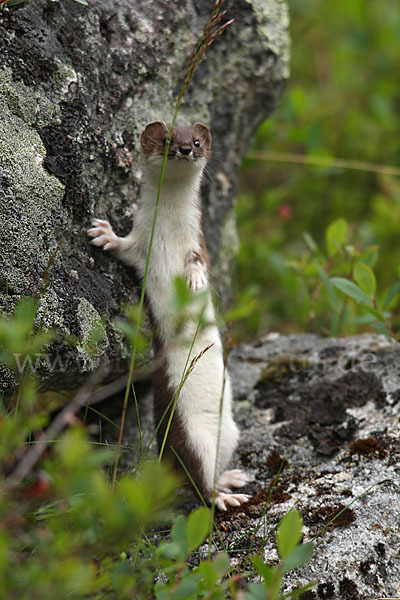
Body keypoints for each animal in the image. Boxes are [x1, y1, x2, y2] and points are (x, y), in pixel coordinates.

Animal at [89, 122, 248, 510]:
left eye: (196, 141)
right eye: (166, 141)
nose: (185, 150)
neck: (169, 231)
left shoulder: (198, 244)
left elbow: (199, 264)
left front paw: (194, 281)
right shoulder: (140, 246)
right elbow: (123, 246)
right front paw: (103, 234)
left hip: (230, 433)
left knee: (211, 472)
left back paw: (230, 481)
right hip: (186, 434)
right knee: (198, 482)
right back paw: (224, 496)